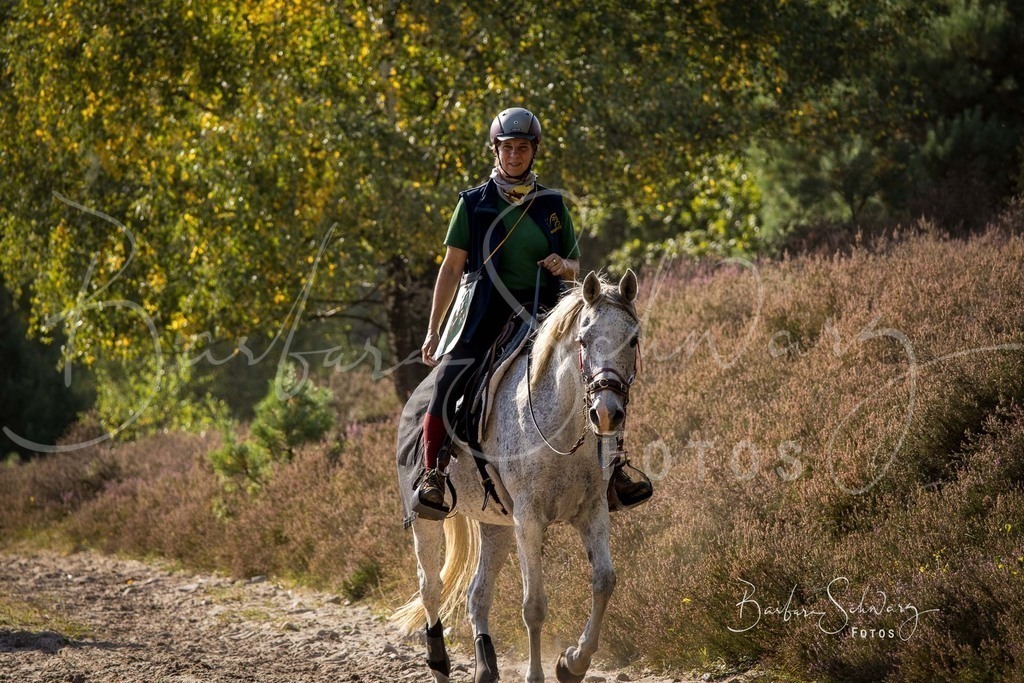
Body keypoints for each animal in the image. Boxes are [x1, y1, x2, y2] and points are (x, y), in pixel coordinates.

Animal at [393, 269, 643, 683]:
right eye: (584, 339)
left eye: (633, 338)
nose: (607, 413)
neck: (560, 426)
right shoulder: (529, 519)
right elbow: (534, 605)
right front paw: (537, 673)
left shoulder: (592, 511)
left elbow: (604, 581)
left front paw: (572, 663)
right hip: (425, 520)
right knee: (431, 588)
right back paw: (439, 663)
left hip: (495, 524)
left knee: (477, 594)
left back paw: (485, 666)